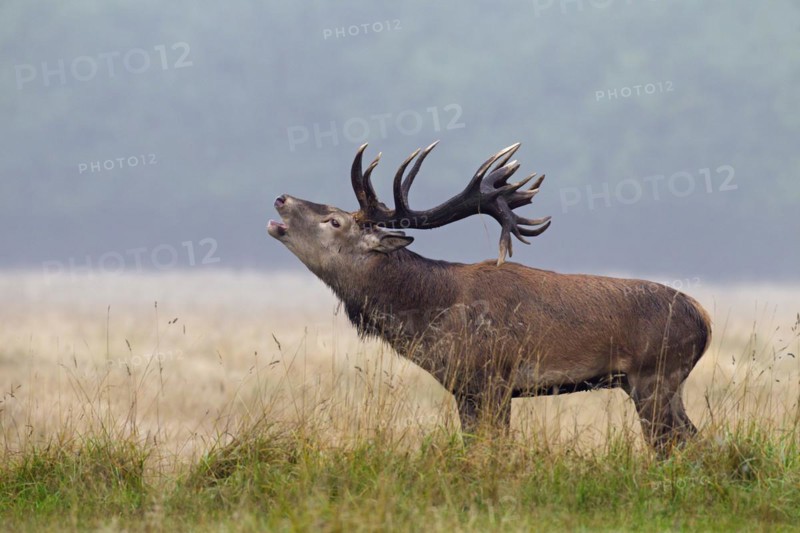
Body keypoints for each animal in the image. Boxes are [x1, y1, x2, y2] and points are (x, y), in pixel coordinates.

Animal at [267, 141, 712, 454]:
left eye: (335, 220)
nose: (281, 198)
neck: (432, 315)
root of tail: (704, 320)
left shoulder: (495, 375)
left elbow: (495, 447)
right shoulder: (463, 387)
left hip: (655, 374)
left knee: (674, 444)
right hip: (660, 382)